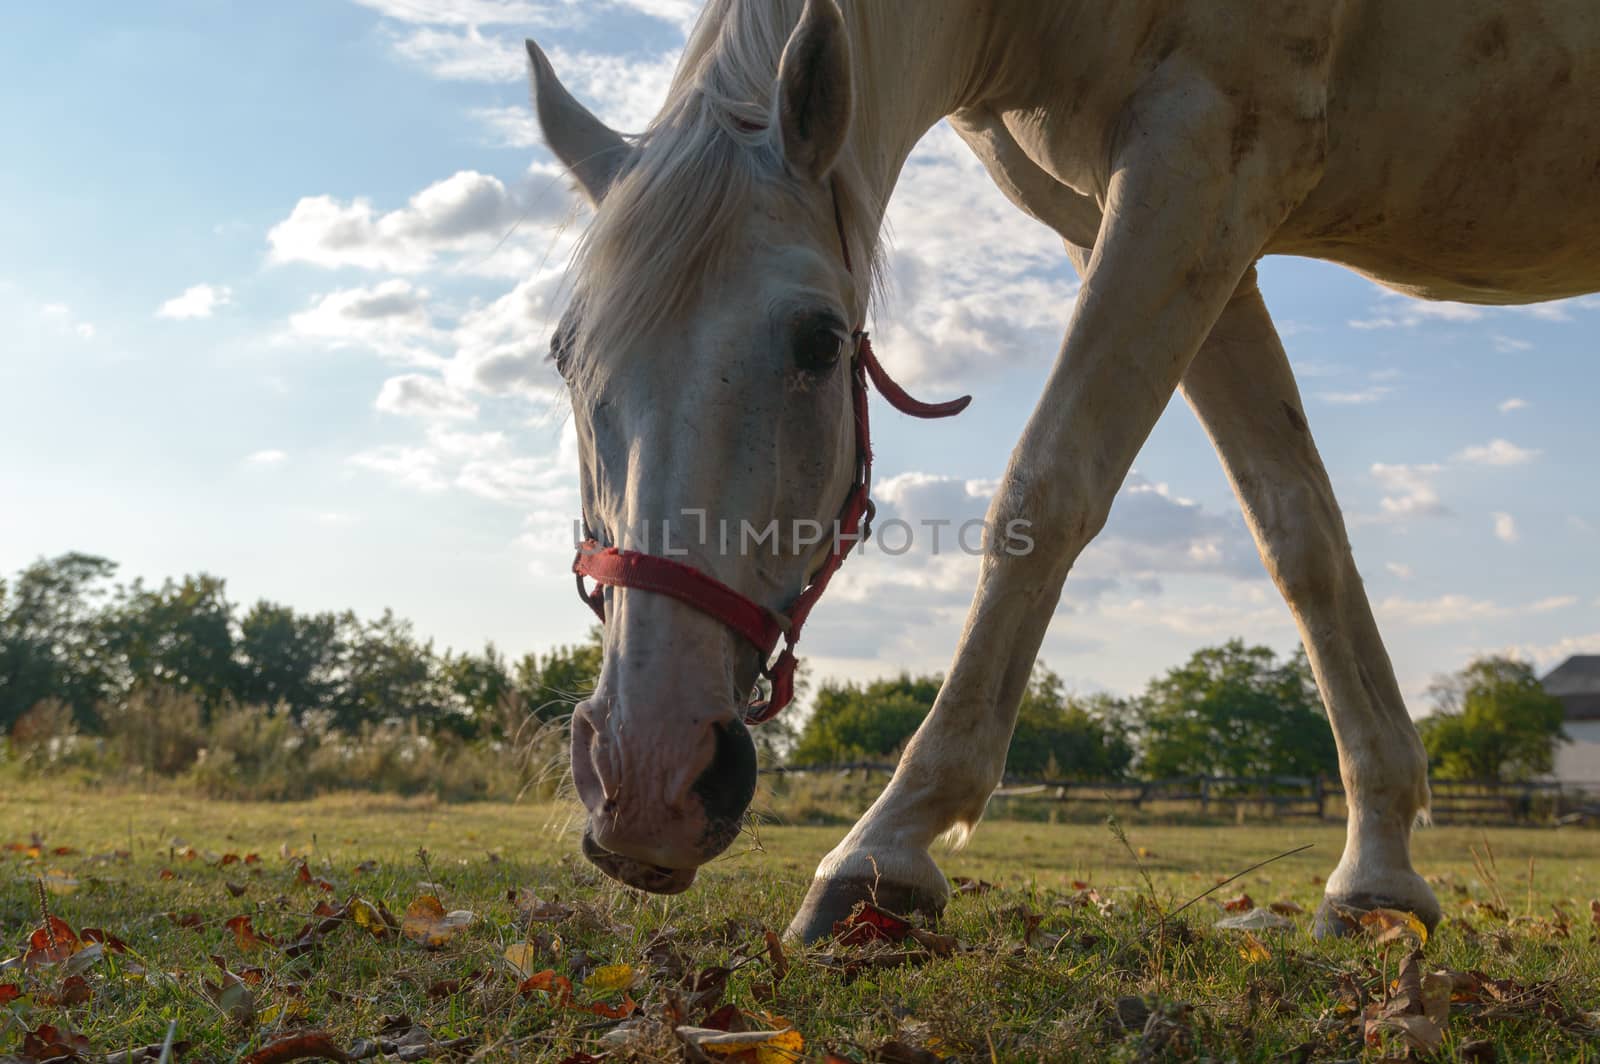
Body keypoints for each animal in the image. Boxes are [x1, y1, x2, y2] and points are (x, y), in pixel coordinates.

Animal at [528, 0, 1600, 940]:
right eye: (564, 357)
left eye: (820, 342)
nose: (646, 779)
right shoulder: (1170, 227)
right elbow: (1299, 534)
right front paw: (1377, 876)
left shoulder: (1202, 161)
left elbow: (1047, 485)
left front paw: (887, 849)